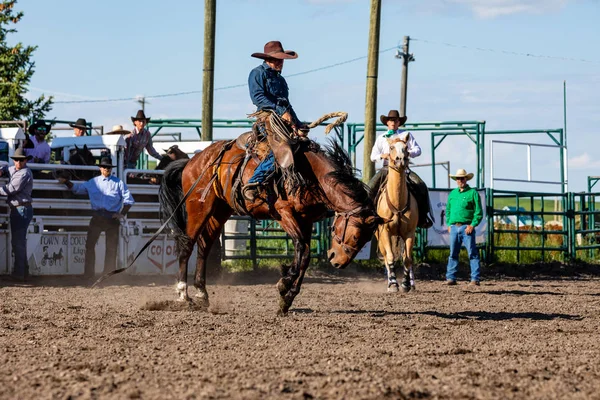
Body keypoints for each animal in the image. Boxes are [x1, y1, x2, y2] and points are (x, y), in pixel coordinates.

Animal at [376, 139, 418, 292]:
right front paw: (394, 284)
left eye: (406, 147)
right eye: (391, 147)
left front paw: (405, 284)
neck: (397, 202)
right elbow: (390, 257)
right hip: (379, 237)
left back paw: (411, 283)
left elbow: (407, 259)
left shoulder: (410, 233)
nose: (401, 160)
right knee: (385, 257)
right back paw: (390, 281)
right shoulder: (385, 232)